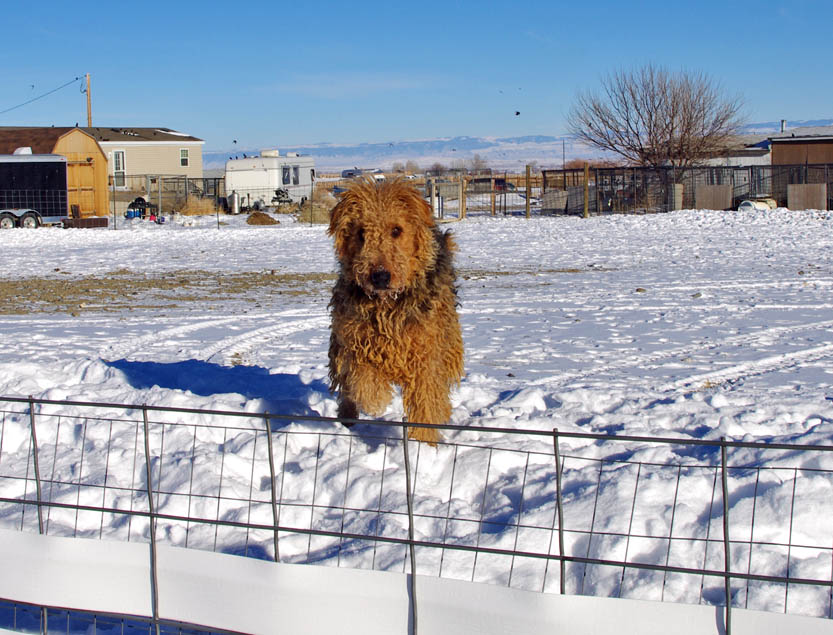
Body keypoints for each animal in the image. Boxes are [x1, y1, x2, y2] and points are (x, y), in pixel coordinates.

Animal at [328, 176, 464, 444]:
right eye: (361, 233)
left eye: (396, 230)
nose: (380, 277)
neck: (387, 306)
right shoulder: (354, 340)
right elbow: (363, 378)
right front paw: (375, 399)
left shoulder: (425, 357)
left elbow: (426, 403)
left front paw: (423, 443)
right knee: (346, 388)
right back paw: (347, 418)